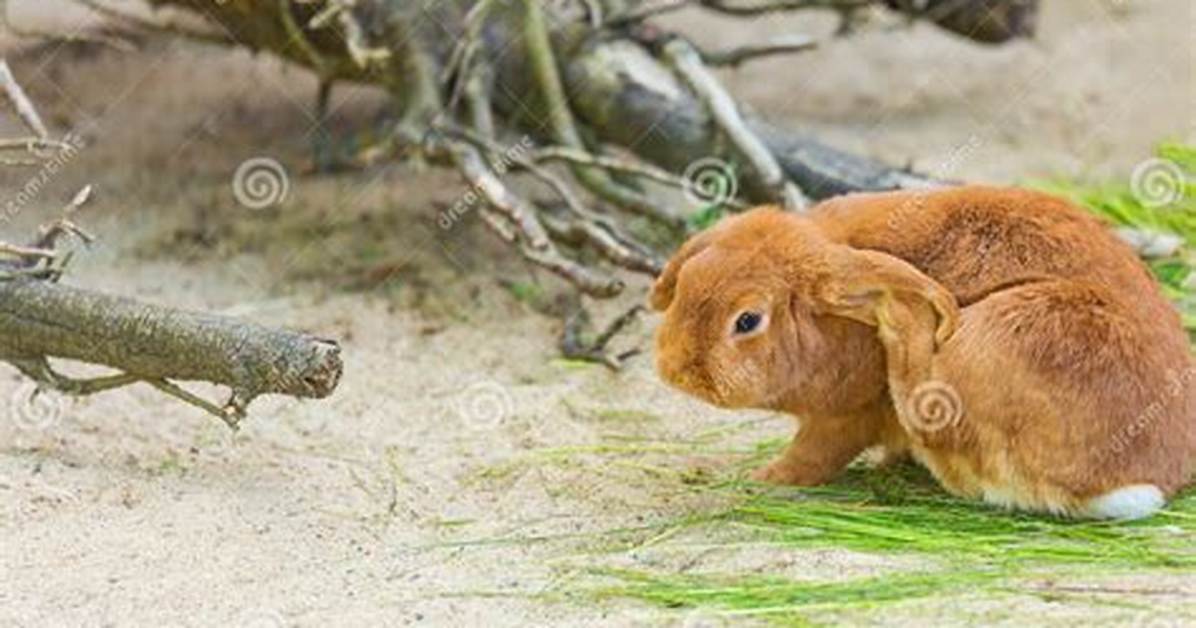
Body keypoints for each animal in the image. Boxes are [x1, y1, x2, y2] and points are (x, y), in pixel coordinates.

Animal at [651, 184, 1195, 519]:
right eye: (686, 283)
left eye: (747, 320)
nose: (675, 368)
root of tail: (1127, 484)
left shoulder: (845, 417)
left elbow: (814, 453)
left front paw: (766, 478)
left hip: (999, 340)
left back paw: (903, 314)